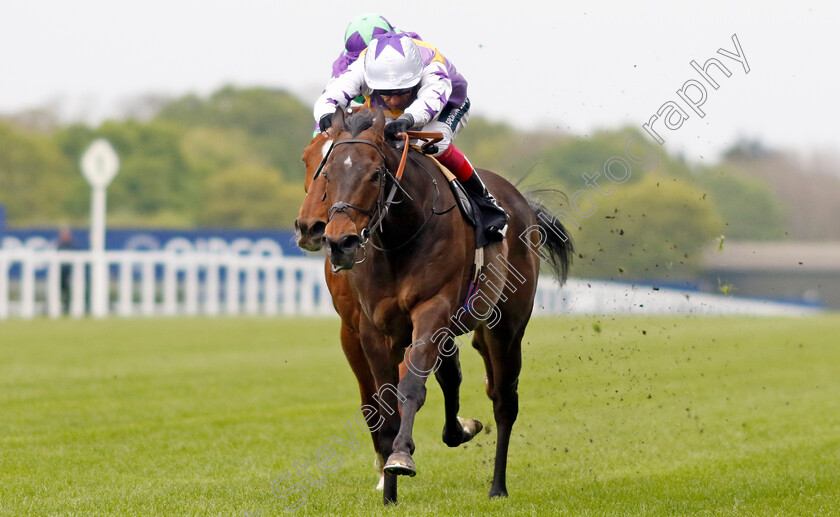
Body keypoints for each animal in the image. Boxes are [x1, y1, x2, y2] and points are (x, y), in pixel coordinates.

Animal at [318, 107, 576, 506]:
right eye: (328, 173)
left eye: (375, 174)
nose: (339, 242)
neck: (399, 238)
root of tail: (523, 204)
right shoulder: (373, 328)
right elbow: (386, 401)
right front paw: (389, 495)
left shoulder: (432, 309)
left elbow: (411, 387)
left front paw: (401, 456)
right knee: (459, 377)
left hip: (507, 328)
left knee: (504, 400)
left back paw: (498, 486)